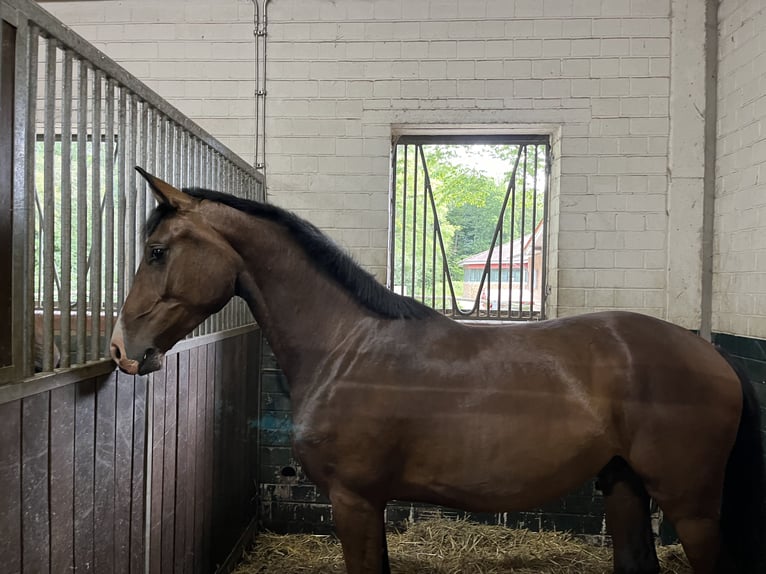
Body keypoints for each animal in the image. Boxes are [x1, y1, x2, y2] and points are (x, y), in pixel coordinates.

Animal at [109, 170, 766, 574]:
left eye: (157, 252)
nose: (121, 349)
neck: (345, 347)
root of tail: (715, 355)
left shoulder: (354, 500)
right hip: (625, 487)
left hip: (690, 507)